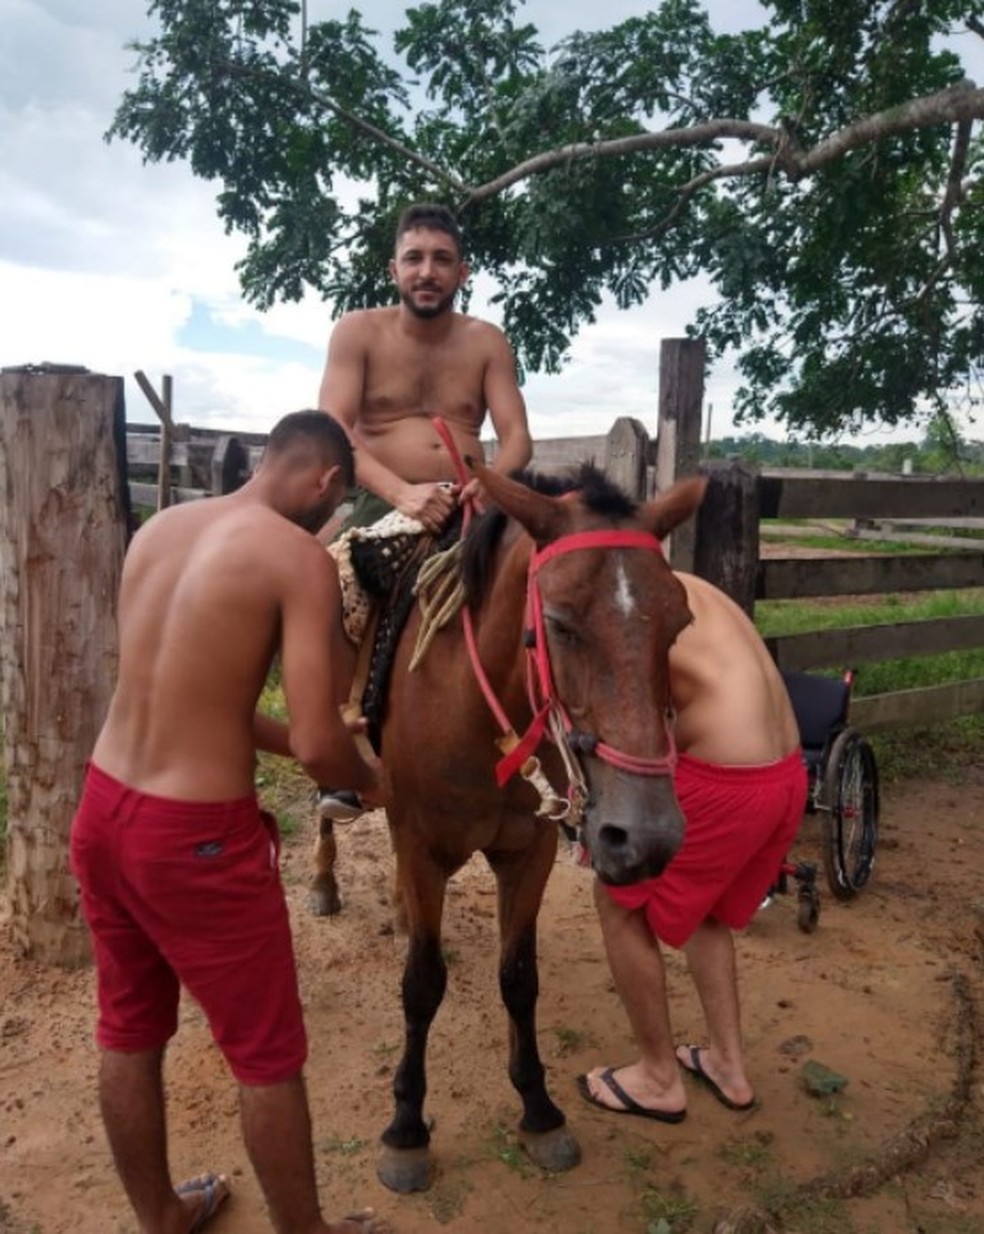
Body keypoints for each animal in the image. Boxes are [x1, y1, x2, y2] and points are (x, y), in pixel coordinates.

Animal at [318, 459, 701, 1189]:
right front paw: (406, 1128)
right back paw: (324, 881)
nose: (645, 838)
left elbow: (519, 979)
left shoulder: (532, 849)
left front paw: (539, 1109)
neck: (477, 710)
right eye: (557, 622)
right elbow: (422, 985)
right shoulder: (423, 847)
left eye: (679, 623)